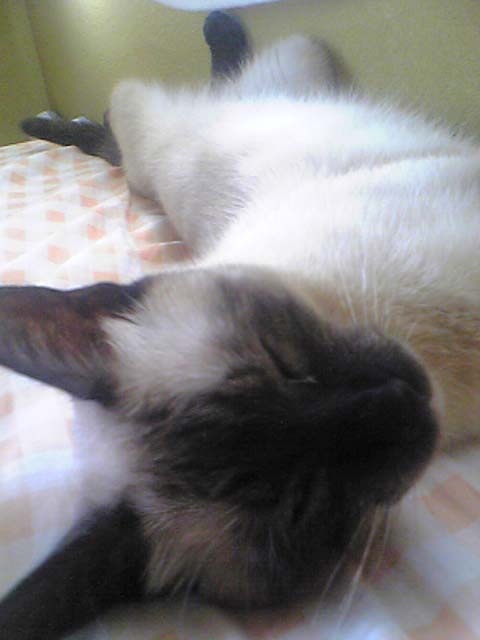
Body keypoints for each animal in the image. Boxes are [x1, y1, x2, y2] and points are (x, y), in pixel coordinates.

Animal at [2, 9, 480, 640]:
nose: (399, 397)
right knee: (124, 132)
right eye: (303, 501)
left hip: (285, 68)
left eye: (282, 361)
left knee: (131, 119)